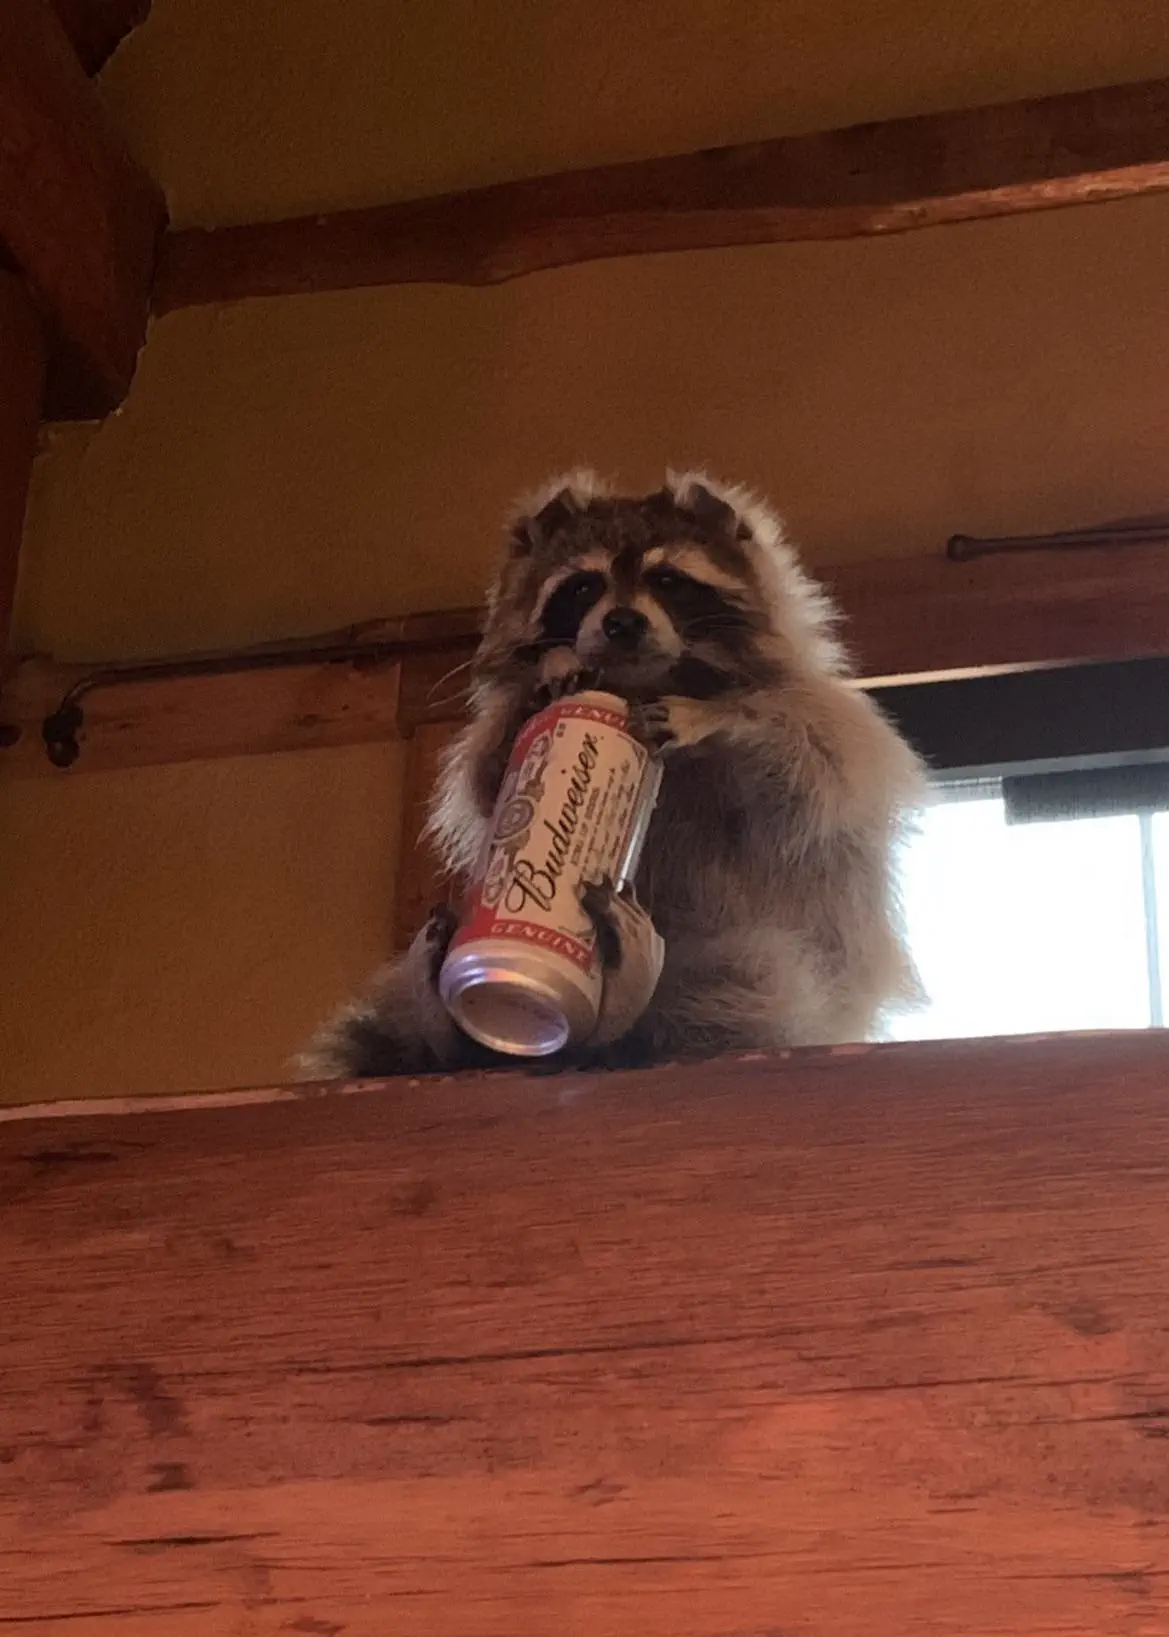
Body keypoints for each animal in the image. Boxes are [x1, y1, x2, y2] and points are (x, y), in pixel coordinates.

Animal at [302, 471, 924, 1077]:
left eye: (668, 580)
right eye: (583, 587)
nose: (623, 622)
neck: (646, 681)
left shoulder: (820, 712)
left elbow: (814, 777)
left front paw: (720, 722)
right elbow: (485, 777)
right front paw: (542, 691)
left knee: (749, 983)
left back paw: (625, 1007)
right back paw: (447, 1026)